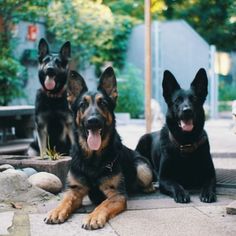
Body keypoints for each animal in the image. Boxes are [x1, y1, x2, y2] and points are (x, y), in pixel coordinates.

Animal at [44, 67, 155, 230]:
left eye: (102, 103)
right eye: (82, 104)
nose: (93, 121)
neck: (93, 158)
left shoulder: (117, 195)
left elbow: (103, 204)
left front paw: (93, 217)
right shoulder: (74, 190)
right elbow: (65, 200)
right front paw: (56, 211)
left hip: (142, 167)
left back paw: (148, 187)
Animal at [136, 68, 216, 203]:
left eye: (194, 99)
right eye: (177, 100)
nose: (187, 110)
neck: (186, 142)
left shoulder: (210, 174)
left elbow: (209, 183)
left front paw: (207, 192)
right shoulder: (164, 178)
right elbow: (175, 184)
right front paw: (181, 193)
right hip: (143, 141)